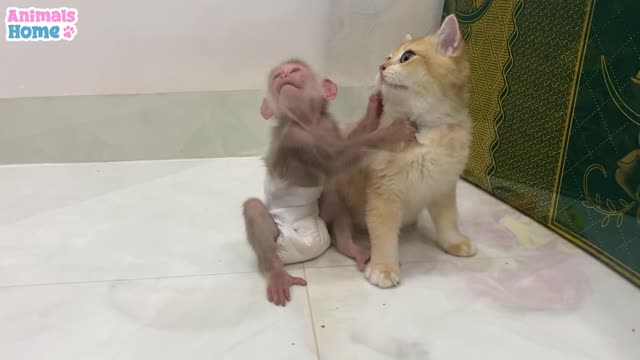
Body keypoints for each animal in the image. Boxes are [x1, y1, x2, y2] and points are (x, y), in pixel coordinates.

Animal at [242, 57, 418, 306]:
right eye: (276, 76)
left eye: (294, 70)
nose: (284, 76)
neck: (308, 123)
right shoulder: (295, 139)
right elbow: (334, 163)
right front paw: (392, 133)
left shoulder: (328, 125)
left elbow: (344, 148)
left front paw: (373, 112)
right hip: (279, 241)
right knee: (255, 209)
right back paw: (276, 273)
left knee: (333, 197)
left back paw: (349, 247)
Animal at [336, 15, 476, 288]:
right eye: (388, 57)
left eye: (407, 56)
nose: (381, 67)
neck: (421, 128)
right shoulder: (384, 194)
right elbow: (384, 235)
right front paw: (384, 267)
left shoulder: (443, 185)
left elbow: (448, 219)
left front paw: (454, 241)